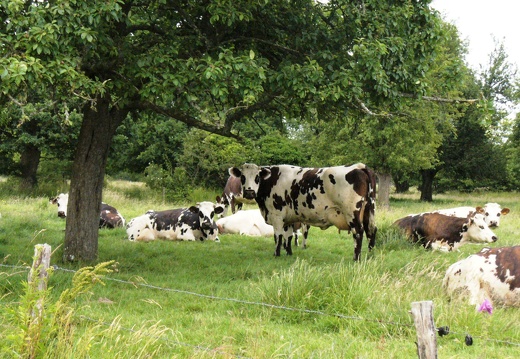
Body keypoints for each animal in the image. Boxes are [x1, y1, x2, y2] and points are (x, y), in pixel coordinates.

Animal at [230, 163, 376, 262]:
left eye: (257, 177)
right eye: (242, 177)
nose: (249, 192)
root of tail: (359, 166)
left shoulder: (277, 215)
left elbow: (278, 236)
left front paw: (276, 254)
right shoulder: (288, 218)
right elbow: (288, 236)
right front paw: (288, 253)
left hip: (352, 213)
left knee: (358, 233)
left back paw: (356, 258)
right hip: (369, 211)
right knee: (372, 231)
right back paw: (370, 255)